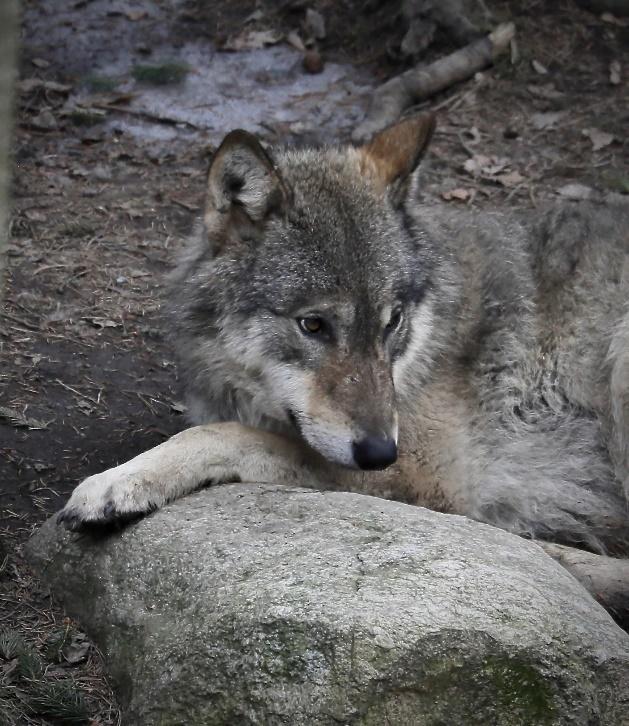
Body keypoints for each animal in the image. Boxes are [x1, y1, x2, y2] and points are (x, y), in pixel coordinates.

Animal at [57, 115, 628, 556]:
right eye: (313, 325)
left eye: (392, 322)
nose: (379, 452)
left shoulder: (424, 476)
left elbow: (220, 434)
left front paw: (117, 482)